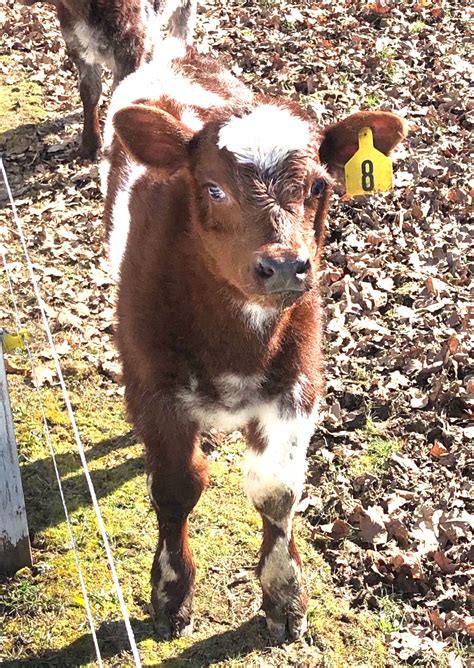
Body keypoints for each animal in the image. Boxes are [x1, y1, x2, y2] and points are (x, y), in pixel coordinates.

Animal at [103, 41, 408, 640]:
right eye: (213, 188)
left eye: (319, 185)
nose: (285, 266)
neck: (235, 346)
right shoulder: (154, 388)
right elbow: (175, 486)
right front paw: (171, 594)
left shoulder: (298, 384)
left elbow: (276, 490)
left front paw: (284, 597)